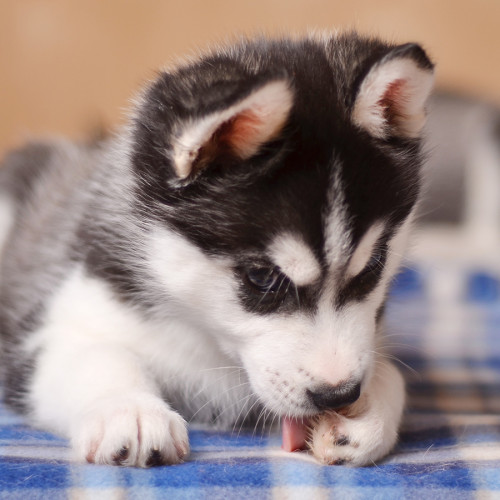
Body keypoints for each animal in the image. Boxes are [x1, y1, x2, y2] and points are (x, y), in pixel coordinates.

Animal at [0, 33, 434, 466]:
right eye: (262, 278)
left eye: (375, 264)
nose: (338, 394)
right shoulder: (56, 321)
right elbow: (99, 357)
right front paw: (130, 409)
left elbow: (391, 373)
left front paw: (370, 415)